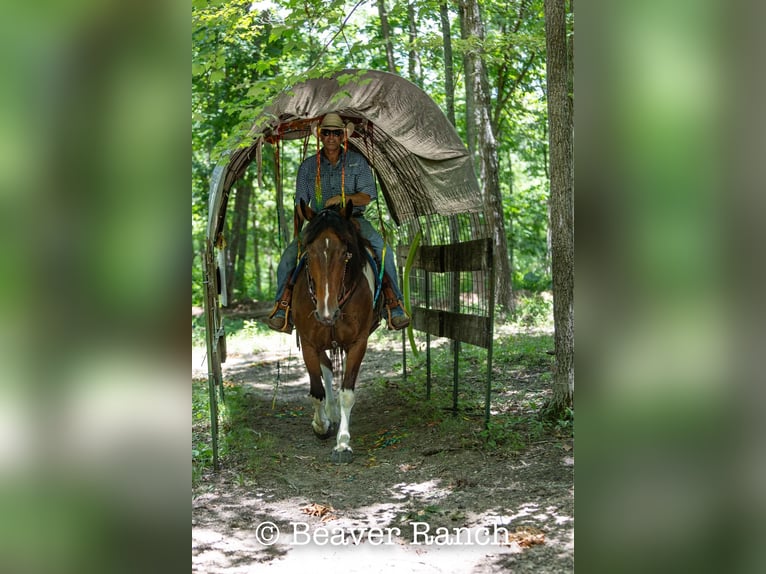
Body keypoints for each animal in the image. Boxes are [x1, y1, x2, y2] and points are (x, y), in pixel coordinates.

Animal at [292, 199, 381, 463]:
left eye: (345, 253)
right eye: (309, 251)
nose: (326, 313)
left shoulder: (358, 343)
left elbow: (347, 393)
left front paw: (343, 443)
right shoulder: (308, 343)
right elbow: (317, 390)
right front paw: (321, 425)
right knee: (327, 369)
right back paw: (329, 414)